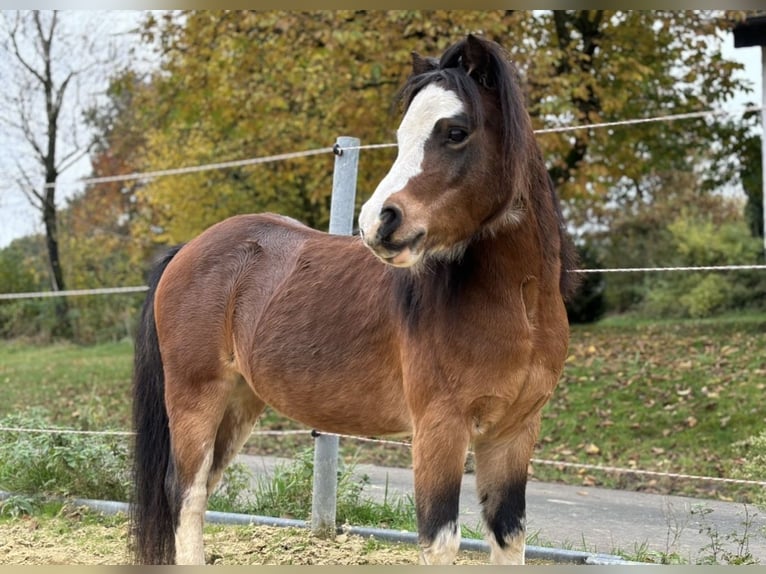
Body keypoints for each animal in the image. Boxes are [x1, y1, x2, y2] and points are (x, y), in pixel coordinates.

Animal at [130, 35, 576, 568]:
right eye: (403, 135)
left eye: (455, 131)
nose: (377, 222)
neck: (520, 305)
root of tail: (186, 251)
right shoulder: (439, 430)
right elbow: (439, 540)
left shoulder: (514, 434)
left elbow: (508, 538)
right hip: (195, 396)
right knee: (187, 494)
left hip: (239, 402)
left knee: (201, 490)